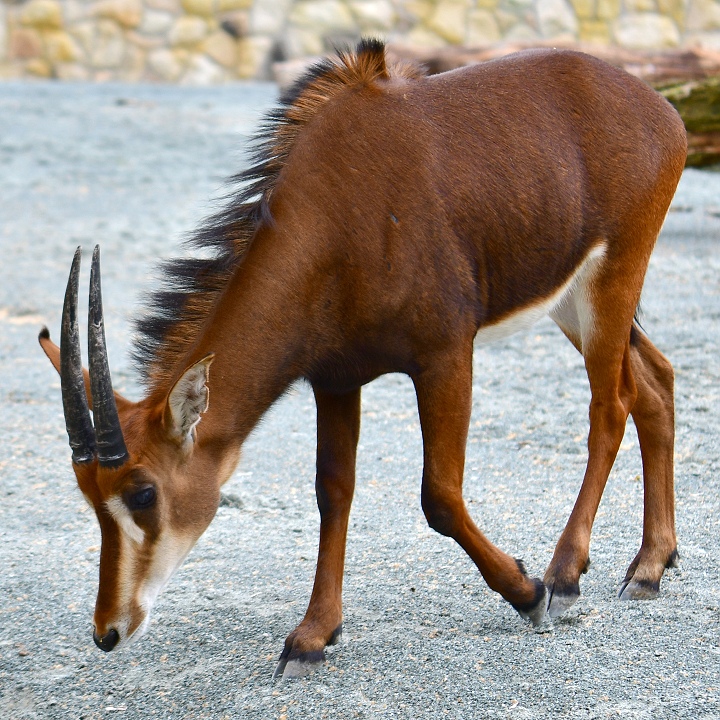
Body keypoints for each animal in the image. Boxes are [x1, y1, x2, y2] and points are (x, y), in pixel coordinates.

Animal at [39, 40, 688, 680]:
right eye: (88, 493)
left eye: (143, 493)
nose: (107, 632)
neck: (336, 220)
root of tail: (662, 111)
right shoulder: (334, 377)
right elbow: (333, 492)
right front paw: (312, 636)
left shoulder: (445, 354)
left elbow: (439, 495)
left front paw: (528, 594)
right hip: (571, 300)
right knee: (656, 381)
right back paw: (650, 566)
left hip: (613, 277)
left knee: (611, 406)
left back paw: (566, 574)